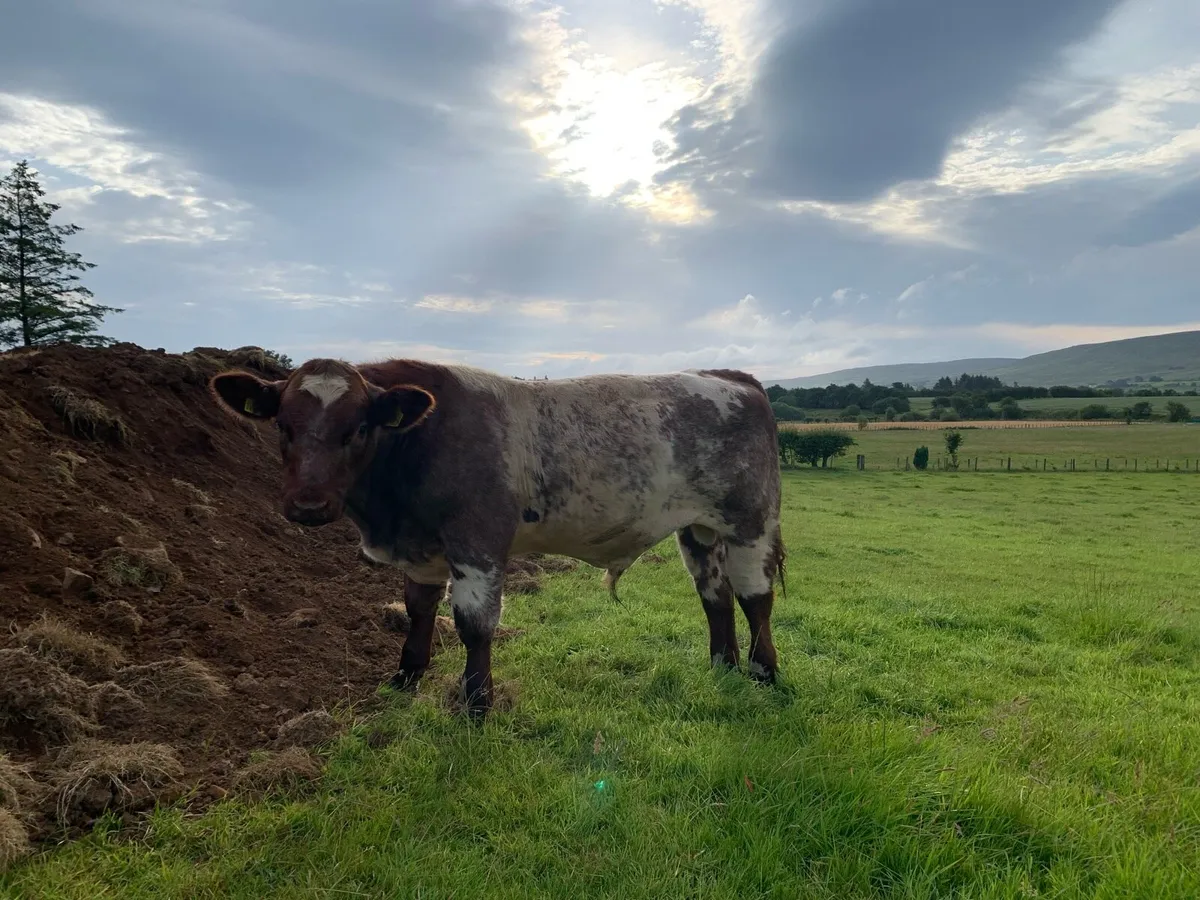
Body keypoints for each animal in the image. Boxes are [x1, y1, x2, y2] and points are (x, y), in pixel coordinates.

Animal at [209, 356, 785, 717]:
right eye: (283, 426)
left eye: (358, 428)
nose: (307, 506)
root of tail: (730, 377)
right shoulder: (421, 552)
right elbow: (419, 611)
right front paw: (405, 678)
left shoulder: (478, 543)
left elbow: (474, 625)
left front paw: (477, 704)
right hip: (700, 529)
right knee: (715, 596)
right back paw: (723, 666)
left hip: (751, 523)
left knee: (755, 598)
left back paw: (764, 673)